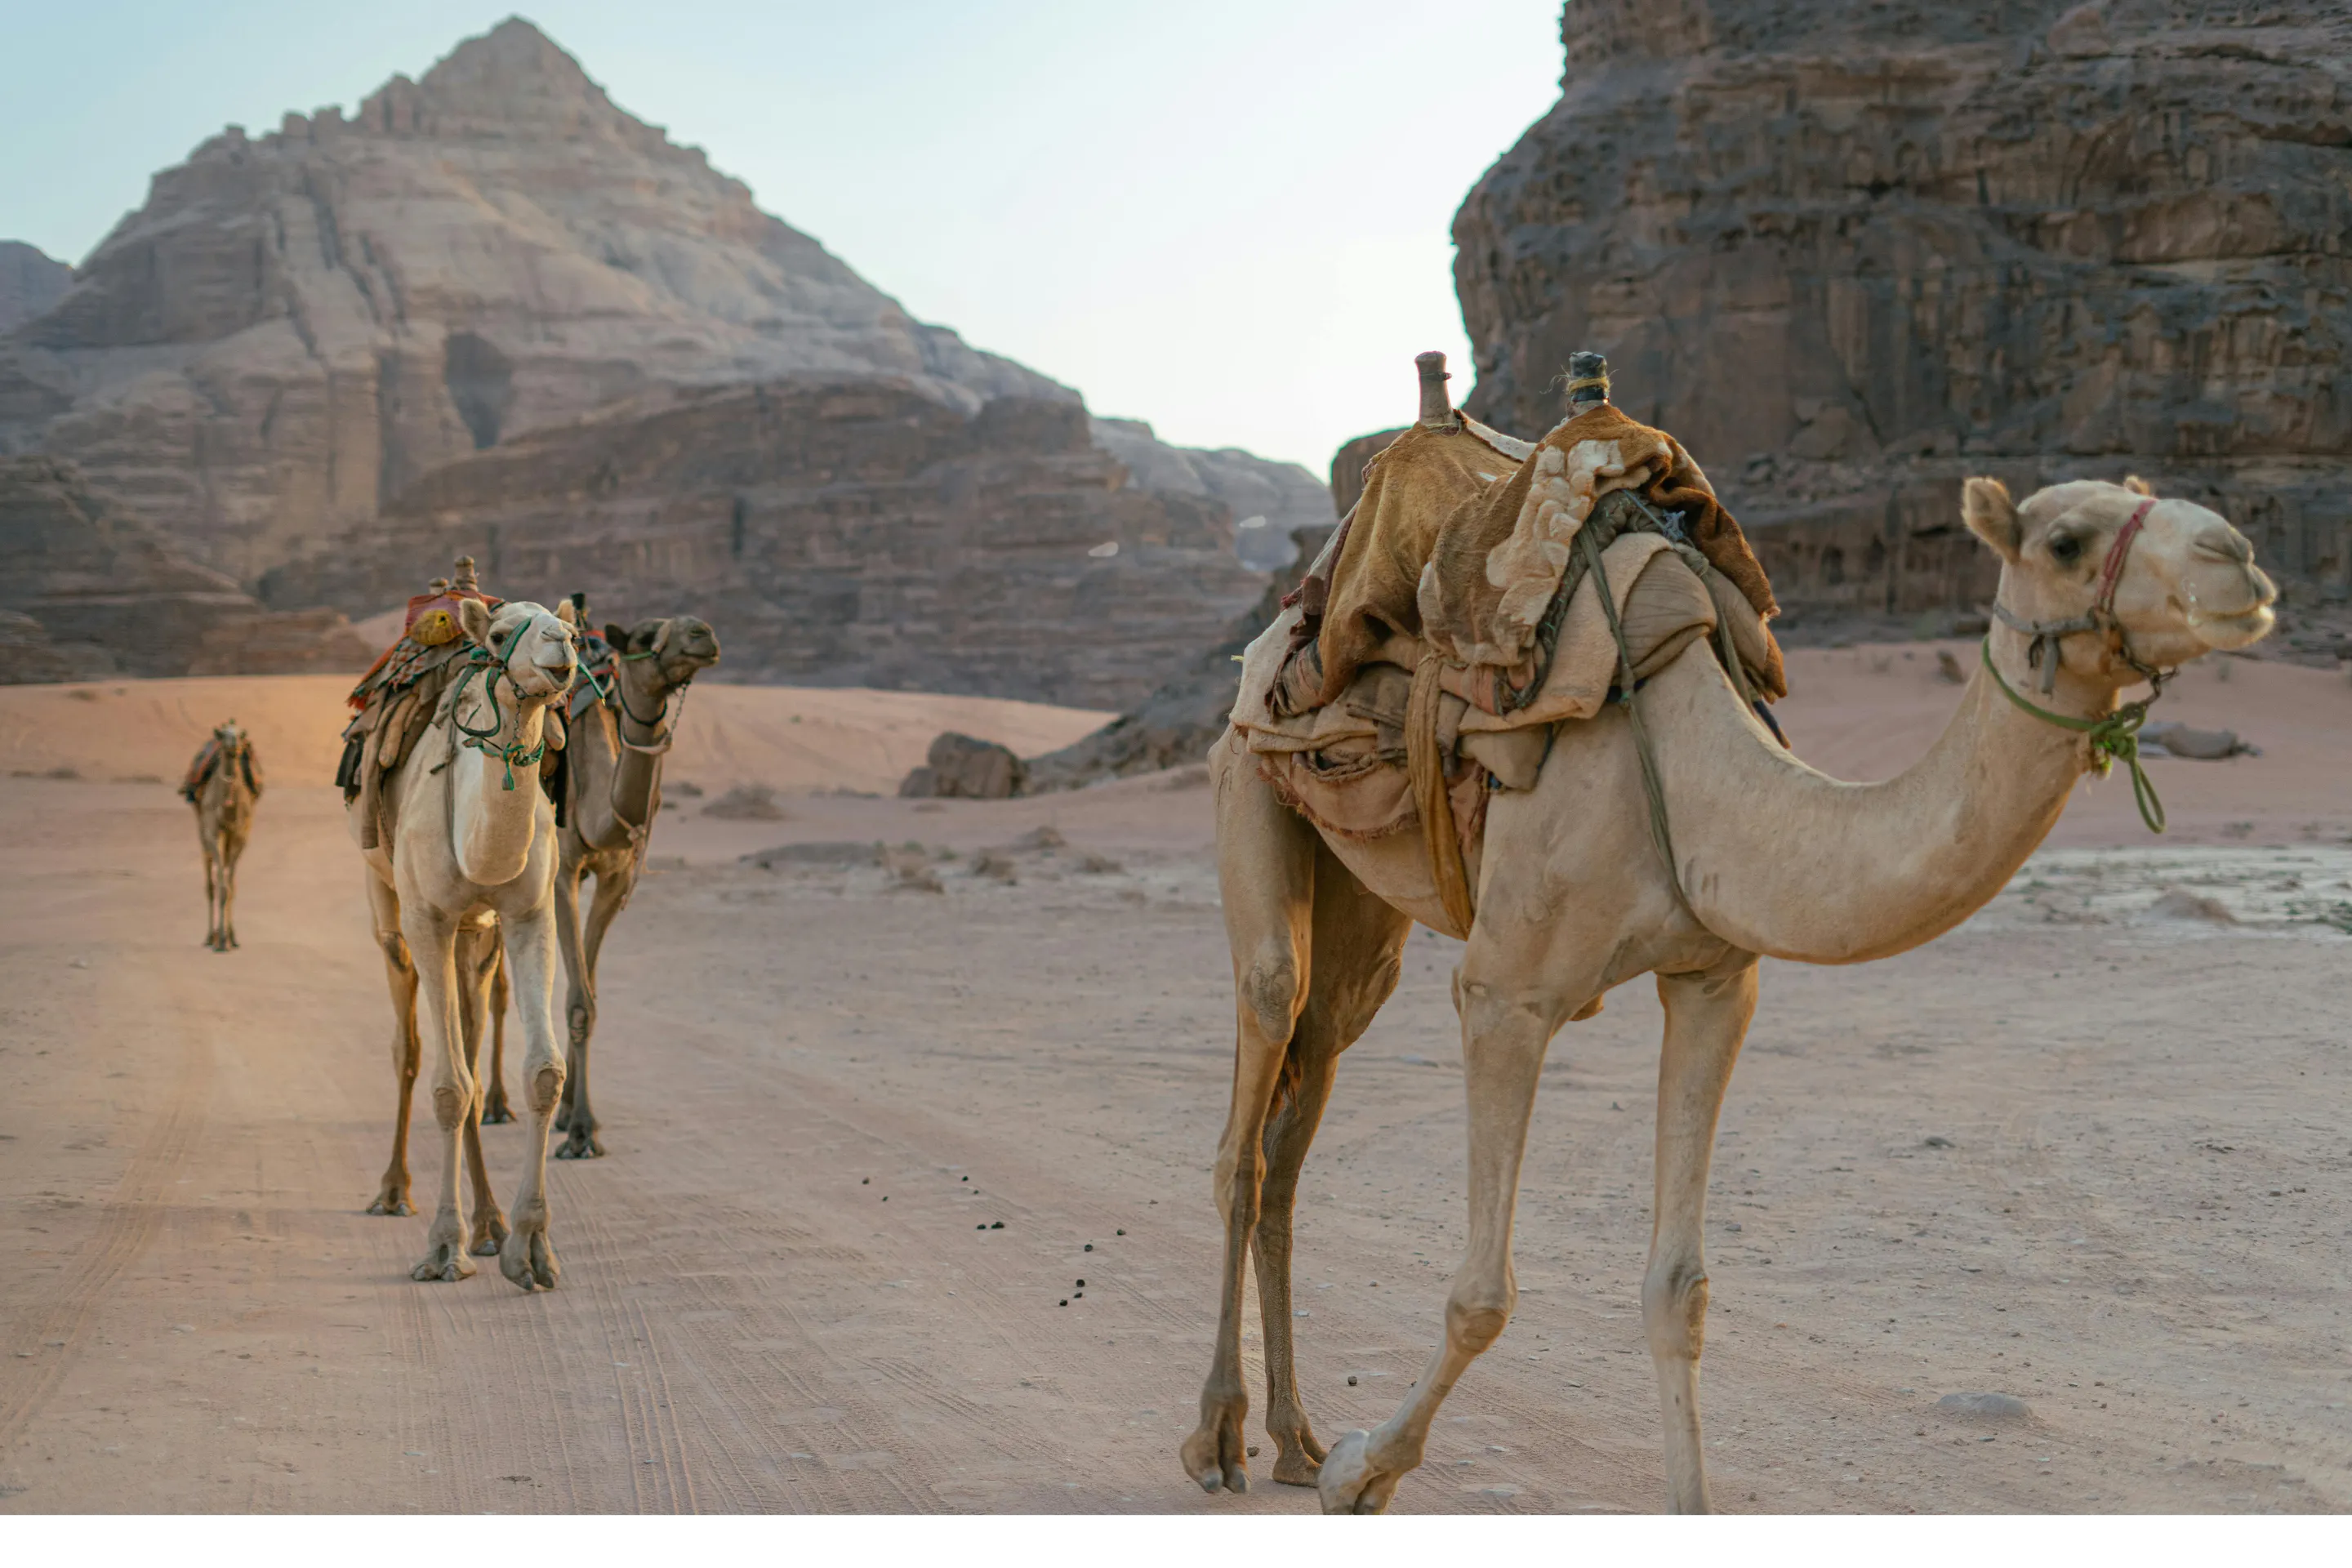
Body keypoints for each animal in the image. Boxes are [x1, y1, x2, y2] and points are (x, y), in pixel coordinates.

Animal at [185, 722, 261, 951]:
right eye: (225, 734)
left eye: (240, 735)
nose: (234, 743)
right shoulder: (214, 833)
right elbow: (220, 886)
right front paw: (219, 942)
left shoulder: (239, 835)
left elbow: (231, 886)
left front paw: (230, 939)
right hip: (203, 833)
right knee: (210, 883)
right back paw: (211, 936)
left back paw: (227, 936)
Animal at [352, 596, 579, 1289]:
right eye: (502, 636)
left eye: (573, 629)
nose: (563, 649)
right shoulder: (428, 919)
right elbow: (449, 1087)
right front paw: (441, 1249)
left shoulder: (529, 913)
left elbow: (542, 1073)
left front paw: (530, 1248)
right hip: (389, 909)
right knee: (410, 1047)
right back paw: (395, 1192)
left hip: (478, 938)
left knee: (477, 1052)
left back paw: (489, 1225)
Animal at [480, 608, 721, 1156]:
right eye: (644, 635)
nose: (705, 634)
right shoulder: (563, 874)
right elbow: (576, 999)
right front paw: (582, 1132)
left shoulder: (615, 878)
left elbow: (586, 991)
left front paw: (574, 1116)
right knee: (496, 985)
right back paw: (495, 1104)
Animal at [1180, 432, 2277, 1507]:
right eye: (2065, 542)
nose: (2239, 561)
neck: (1696, 778)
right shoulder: (1505, 992)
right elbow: (1480, 1296)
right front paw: (1364, 1472)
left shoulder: (1714, 982)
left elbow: (1679, 1293)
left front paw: (1352, 1461)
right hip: (1248, 781)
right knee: (1252, 1099)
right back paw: (1221, 1439)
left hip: (1363, 922)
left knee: (1300, 1111)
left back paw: (1294, 1438)